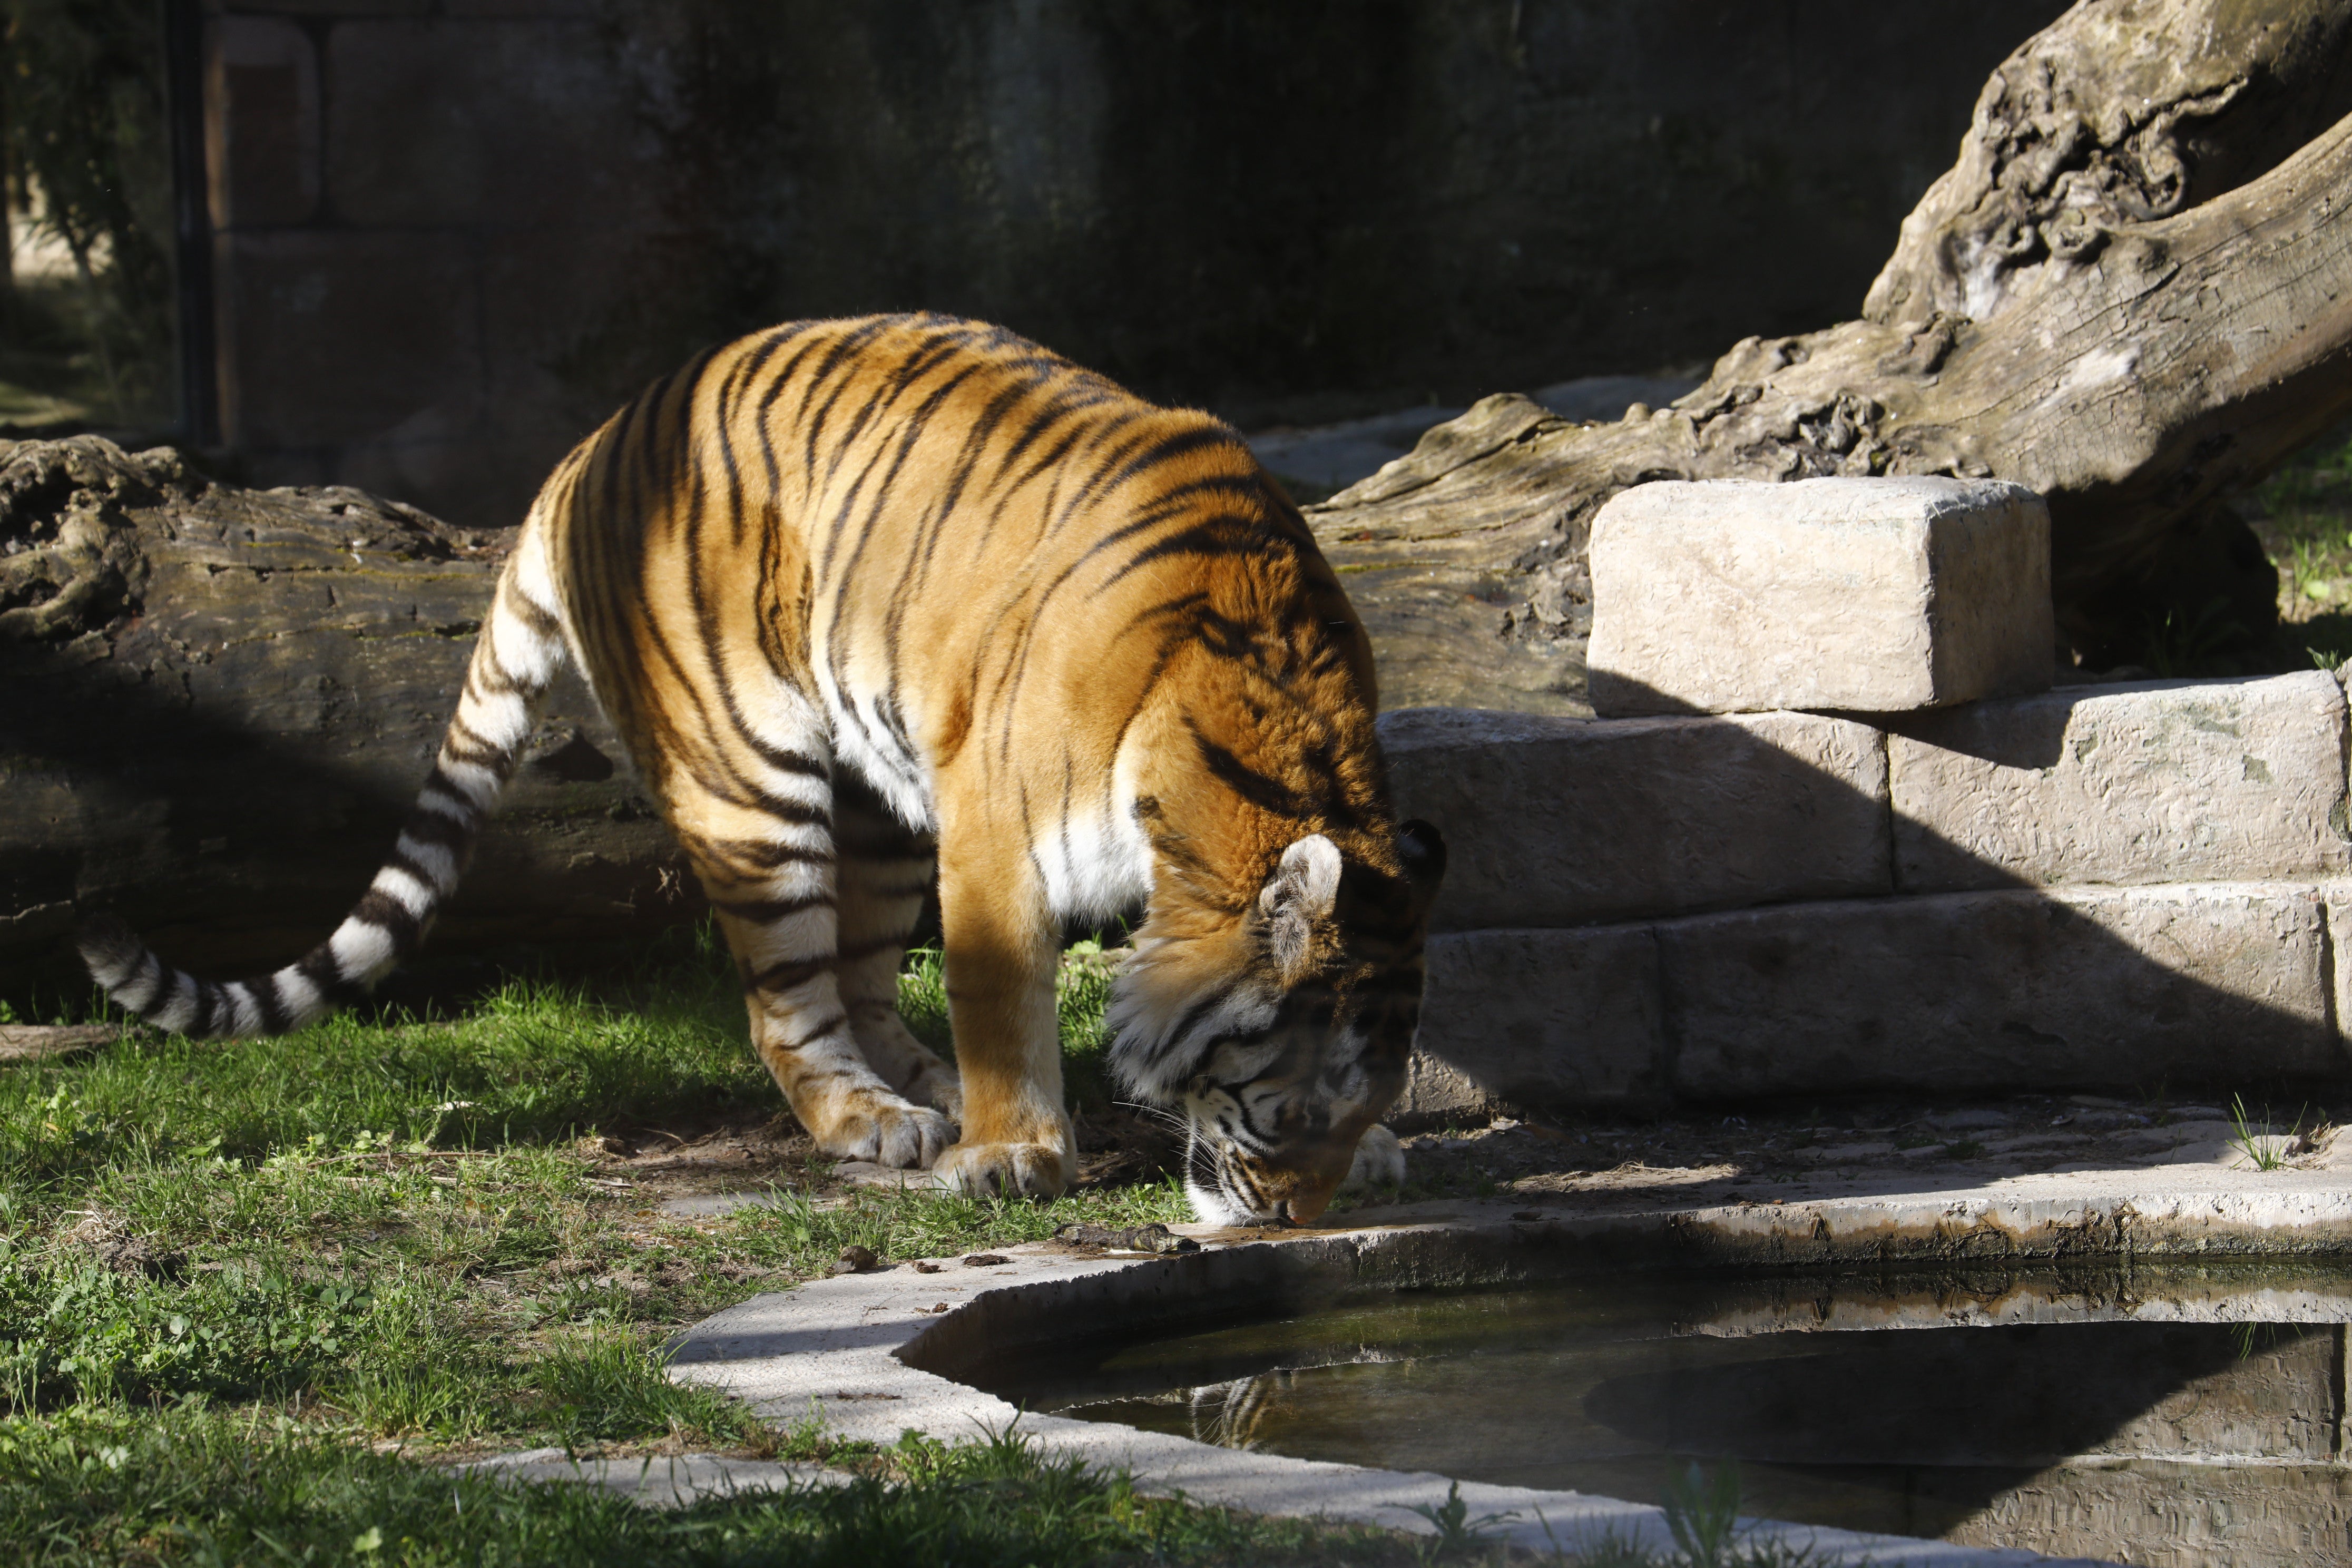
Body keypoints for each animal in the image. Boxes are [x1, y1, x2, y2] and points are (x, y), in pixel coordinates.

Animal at [79, 312, 1446, 1226]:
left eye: (1359, 1107)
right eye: (1292, 1111)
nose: (1297, 1218)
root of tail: (592, 440)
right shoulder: (993, 826)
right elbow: (999, 991)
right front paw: (1012, 1153)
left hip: (883, 798)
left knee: (865, 978)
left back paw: (918, 1088)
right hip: (751, 783)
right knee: (788, 1006)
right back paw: (876, 1121)